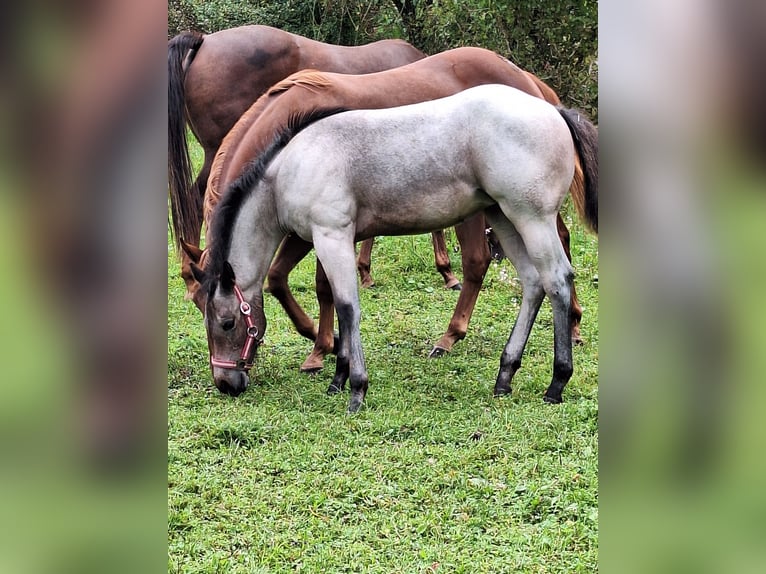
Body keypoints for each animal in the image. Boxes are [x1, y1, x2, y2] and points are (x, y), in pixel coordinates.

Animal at [190, 83, 600, 412]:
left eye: (227, 322)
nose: (225, 384)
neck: (291, 166)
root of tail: (554, 110)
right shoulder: (331, 239)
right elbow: (336, 302)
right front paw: (337, 378)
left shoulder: (331, 235)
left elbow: (347, 306)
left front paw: (356, 389)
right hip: (503, 217)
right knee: (533, 282)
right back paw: (505, 375)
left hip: (532, 218)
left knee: (558, 280)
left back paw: (557, 382)